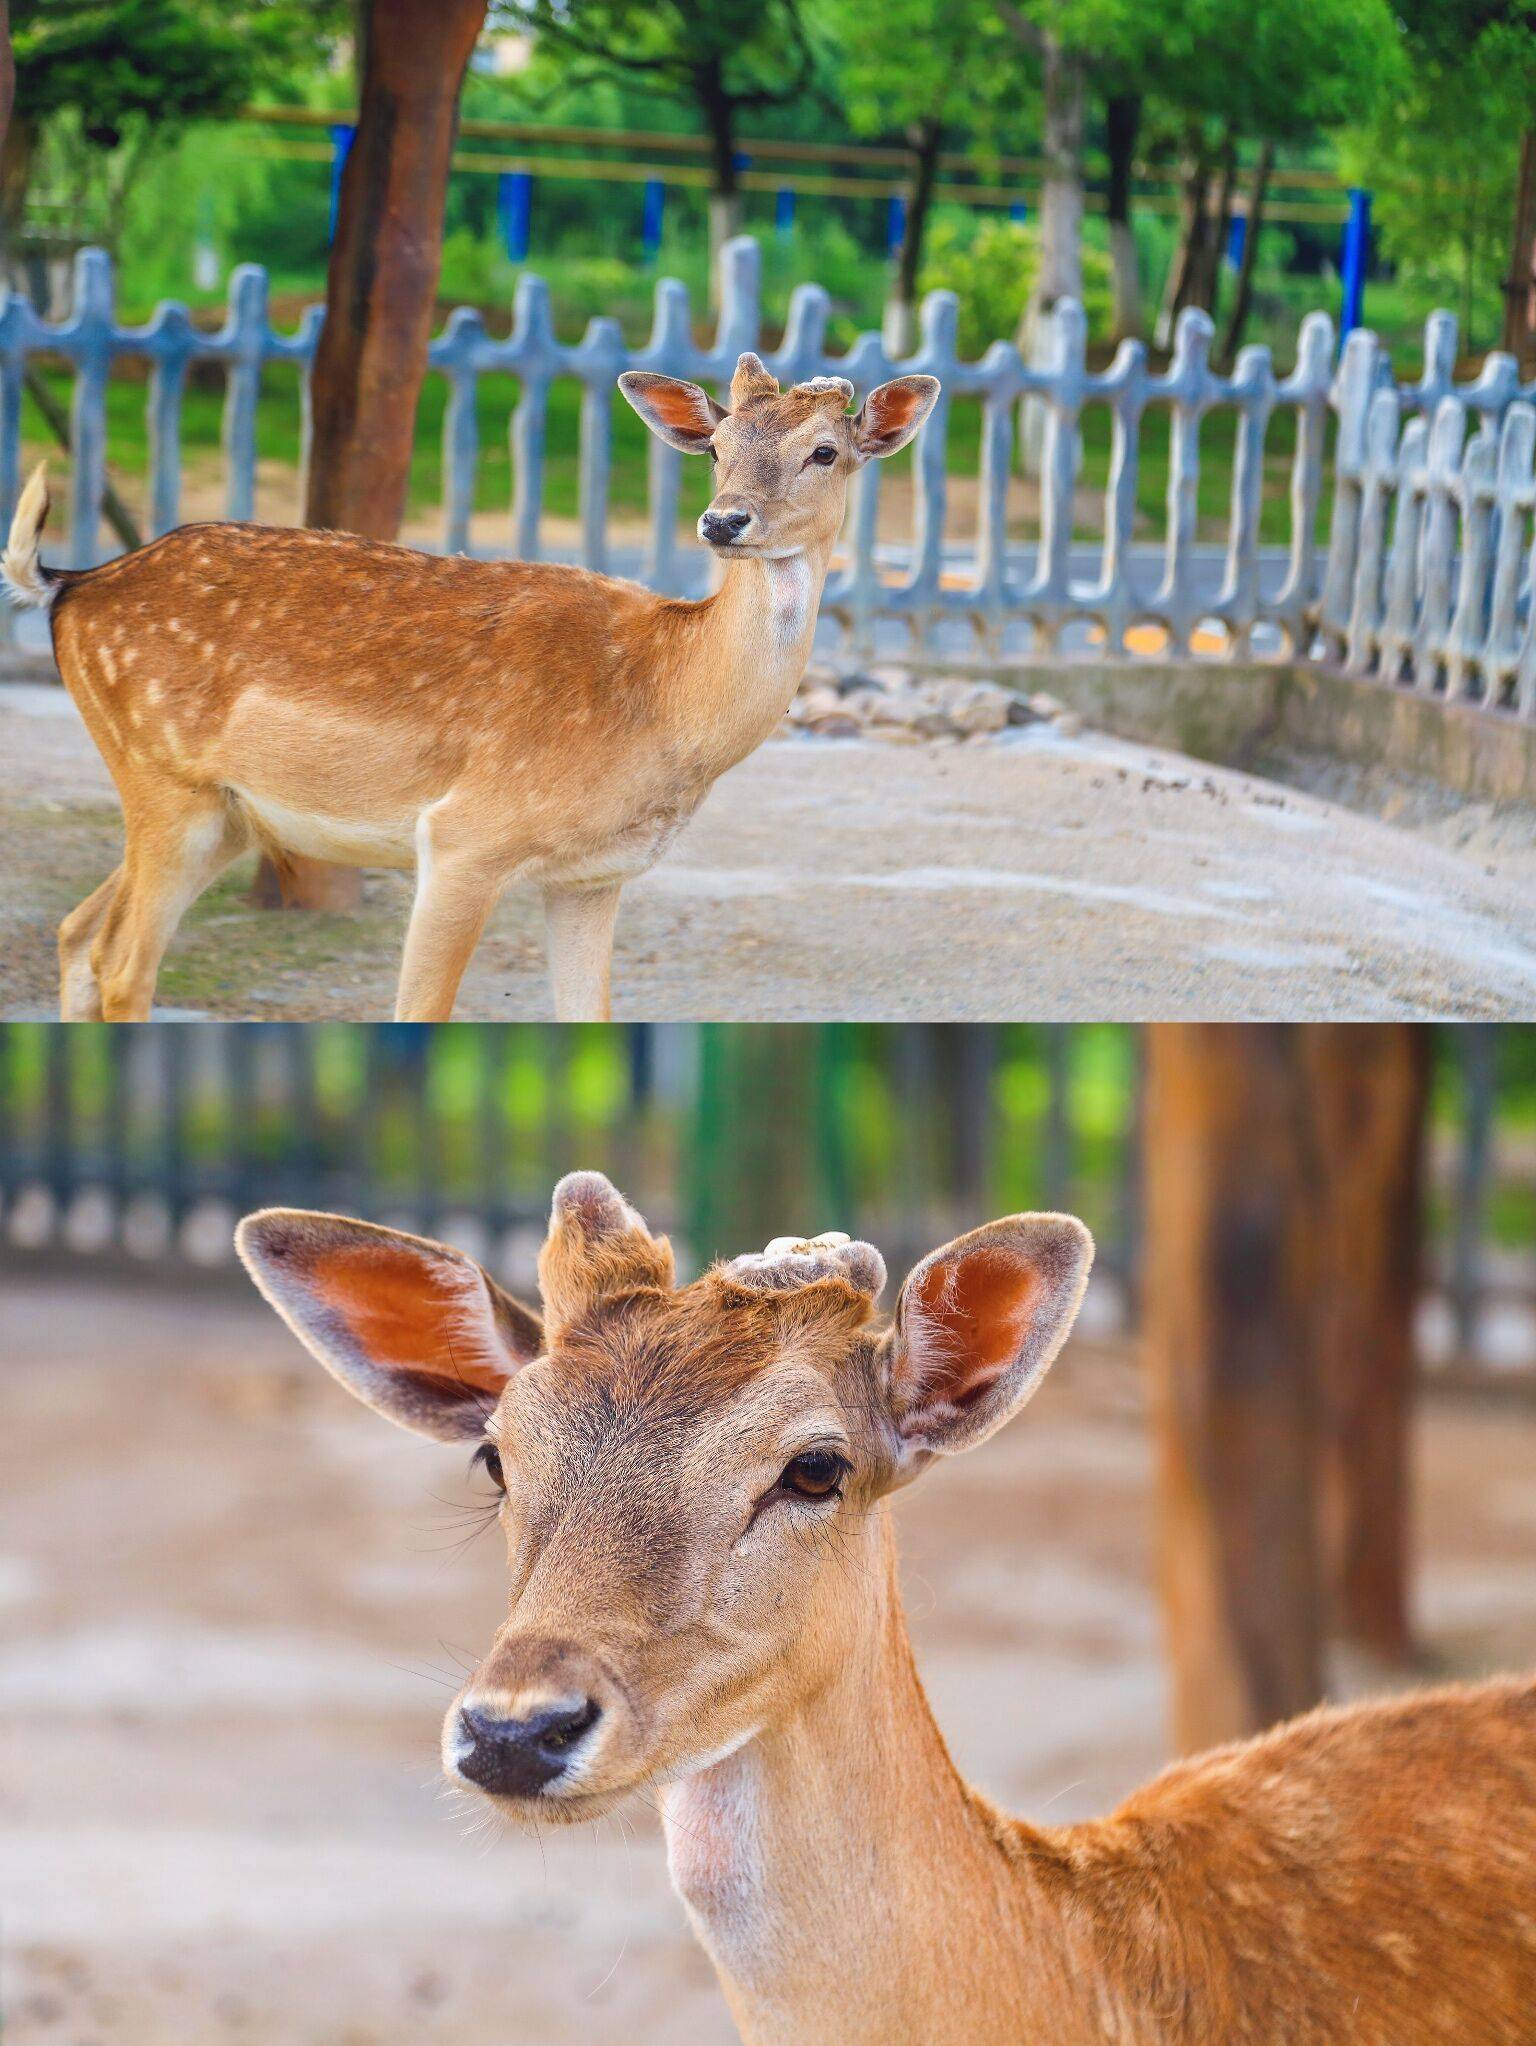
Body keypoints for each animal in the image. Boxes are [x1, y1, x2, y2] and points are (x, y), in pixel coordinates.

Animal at [6, 362, 936, 1031]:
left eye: (825, 452)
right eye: (716, 447)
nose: (724, 521)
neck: (664, 706)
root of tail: (71, 585)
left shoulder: (593, 876)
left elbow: (592, 1014)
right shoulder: (464, 836)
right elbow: (420, 1011)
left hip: (222, 814)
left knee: (77, 932)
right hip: (164, 779)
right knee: (125, 965)